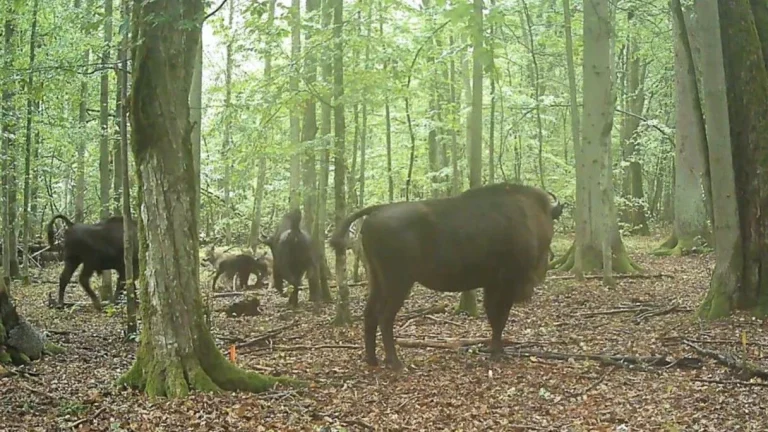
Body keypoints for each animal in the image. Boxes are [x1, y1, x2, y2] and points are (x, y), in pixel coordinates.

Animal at [330, 183, 562, 370]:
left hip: (377, 280)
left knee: (369, 314)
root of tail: (379, 210)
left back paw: (372, 360)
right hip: (398, 283)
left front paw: (495, 351)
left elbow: (494, 317)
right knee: (385, 317)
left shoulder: (492, 285)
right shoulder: (505, 284)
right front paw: (498, 353)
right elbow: (500, 318)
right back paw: (395, 363)